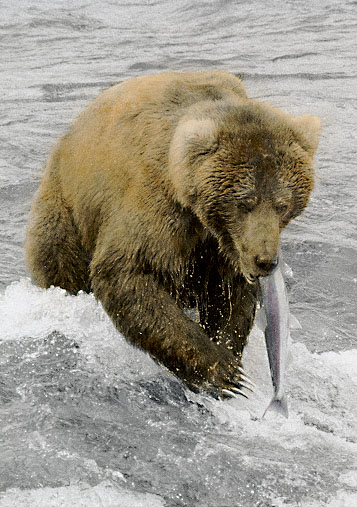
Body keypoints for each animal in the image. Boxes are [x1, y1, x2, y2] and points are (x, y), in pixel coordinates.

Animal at [25, 69, 320, 398]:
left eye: (283, 205)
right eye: (245, 202)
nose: (265, 260)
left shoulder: (222, 245)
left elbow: (228, 294)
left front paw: (227, 349)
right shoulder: (156, 207)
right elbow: (127, 271)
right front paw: (224, 371)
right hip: (67, 212)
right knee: (59, 260)